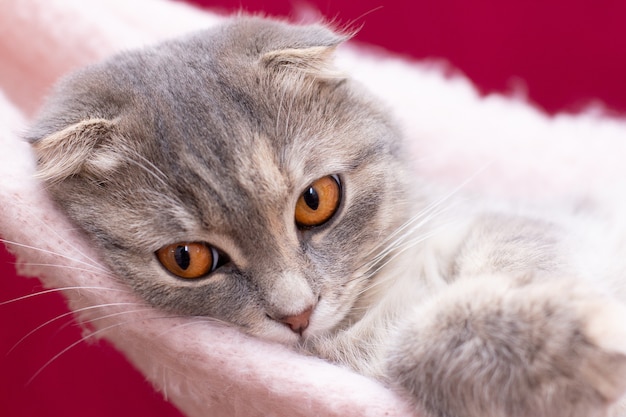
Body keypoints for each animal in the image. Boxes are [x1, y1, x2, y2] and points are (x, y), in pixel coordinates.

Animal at [26, 15, 624, 416]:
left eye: (315, 201)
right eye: (187, 258)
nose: (297, 315)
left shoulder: (516, 222)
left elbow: (520, 249)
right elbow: (410, 353)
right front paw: (575, 343)